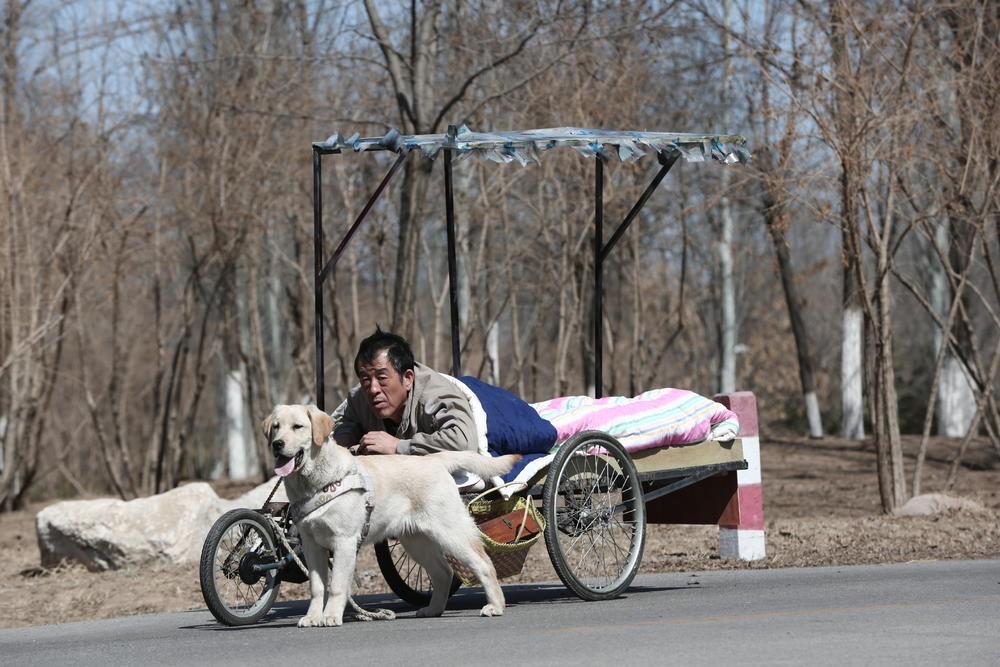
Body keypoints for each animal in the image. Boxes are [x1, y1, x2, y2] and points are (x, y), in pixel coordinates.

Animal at [262, 404, 520, 628]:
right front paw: (313, 617)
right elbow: (317, 587)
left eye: (297, 426)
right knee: (444, 573)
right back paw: (433, 609)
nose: (277, 444)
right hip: (416, 541)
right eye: (276, 427)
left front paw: (330, 616)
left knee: (483, 564)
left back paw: (495, 606)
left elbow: (336, 586)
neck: (314, 483)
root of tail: (433, 459)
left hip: (450, 532)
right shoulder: (311, 545)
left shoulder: (344, 542)